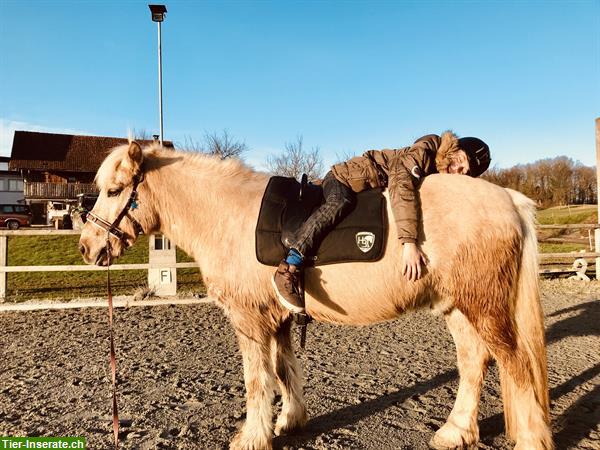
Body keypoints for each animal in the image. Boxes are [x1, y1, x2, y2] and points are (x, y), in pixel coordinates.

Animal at [78, 142, 552, 450]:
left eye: (115, 191)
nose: (87, 247)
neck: (230, 216)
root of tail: (509, 199)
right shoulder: (279, 318)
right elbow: (284, 370)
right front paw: (289, 421)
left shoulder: (249, 319)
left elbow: (257, 379)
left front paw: (253, 436)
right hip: (458, 307)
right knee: (474, 362)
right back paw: (455, 432)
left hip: (485, 308)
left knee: (516, 366)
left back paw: (528, 438)